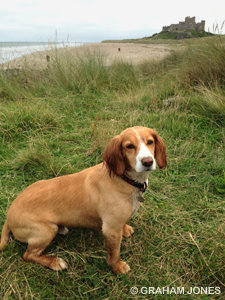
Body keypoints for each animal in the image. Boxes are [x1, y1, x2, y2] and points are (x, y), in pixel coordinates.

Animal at [0, 126, 166, 274]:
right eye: (129, 146)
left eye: (150, 142)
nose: (148, 161)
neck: (124, 179)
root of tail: (9, 215)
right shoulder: (110, 230)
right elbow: (114, 253)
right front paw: (117, 268)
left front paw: (125, 229)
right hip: (46, 231)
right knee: (28, 255)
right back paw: (54, 262)